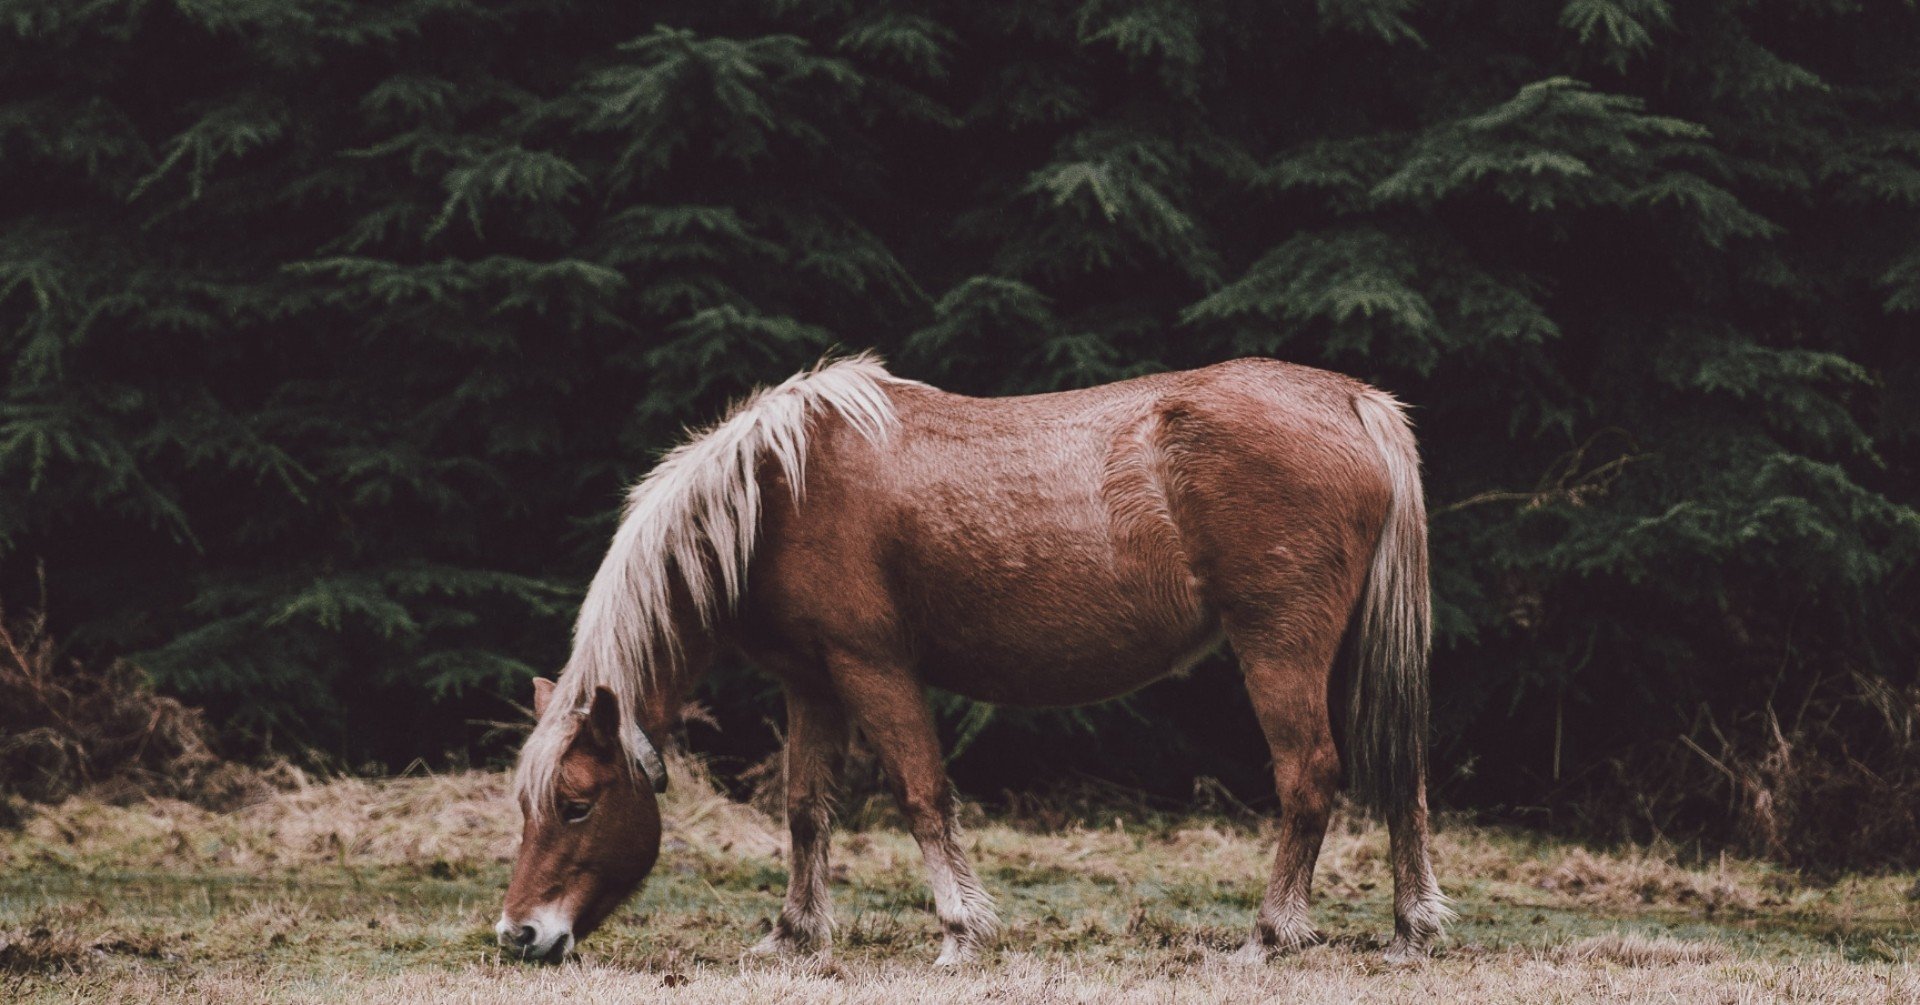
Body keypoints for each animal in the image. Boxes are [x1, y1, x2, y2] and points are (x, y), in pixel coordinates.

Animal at [487, 353, 1443, 968]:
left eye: (576, 803)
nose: (519, 935)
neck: (777, 493)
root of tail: (1352, 401)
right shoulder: (811, 683)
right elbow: (805, 809)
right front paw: (793, 934)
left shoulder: (873, 667)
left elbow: (922, 794)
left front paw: (959, 931)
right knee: (1403, 775)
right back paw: (1410, 929)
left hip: (1279, 647)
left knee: (1310, 776)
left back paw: (1268, 935)